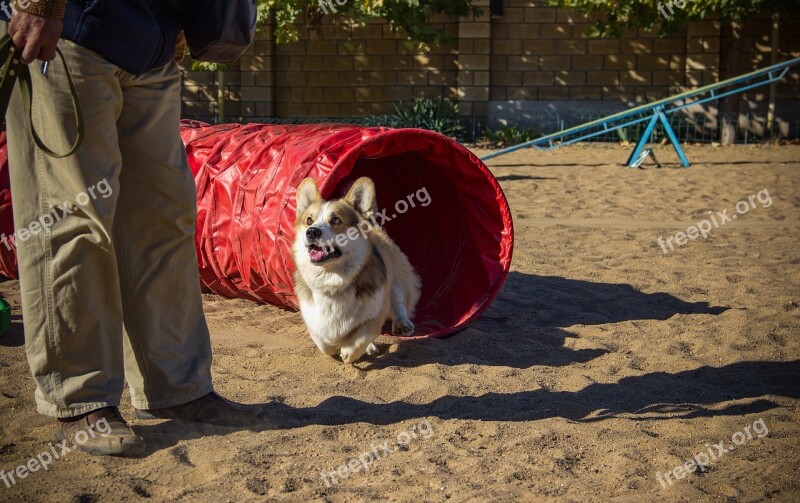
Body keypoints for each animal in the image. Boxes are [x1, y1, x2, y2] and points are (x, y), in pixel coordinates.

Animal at [290, 179, 422, 364]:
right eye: (309, 220)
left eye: (336, 220)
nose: (312, 232)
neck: (332, 279)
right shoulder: (313, 319)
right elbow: (323, 344)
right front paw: (335, 347)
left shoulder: (375, 311)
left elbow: (362, 336)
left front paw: (348, 352)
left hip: (397, 279)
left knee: (399, 302)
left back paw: (402, 324)